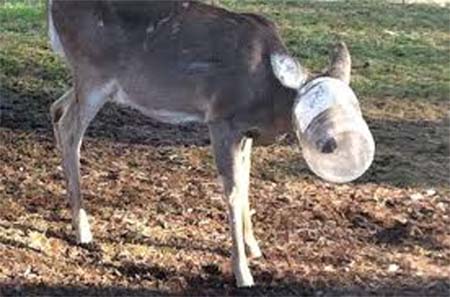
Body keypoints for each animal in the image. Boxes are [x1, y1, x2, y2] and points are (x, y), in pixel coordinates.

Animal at [48, 0, 372, 286]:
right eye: (310, 109)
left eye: (354, 105)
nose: (336, 144)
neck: (268, 97)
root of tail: (53, 9)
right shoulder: (221, 118)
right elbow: (233, 192)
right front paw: (243, 273)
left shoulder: (246, 132)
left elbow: (247, 184)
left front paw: (254, 246)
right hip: (94, 74)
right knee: (70, 129)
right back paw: (83, 230)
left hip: (89, 82)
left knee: (57, 109)